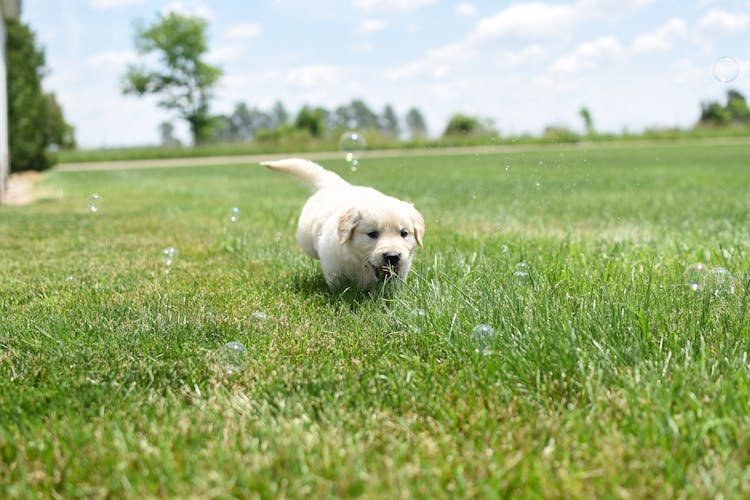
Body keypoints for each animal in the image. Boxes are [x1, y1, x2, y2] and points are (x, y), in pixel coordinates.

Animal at [262, 156, 426, 290]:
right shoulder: (332, 264)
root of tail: (335, 185)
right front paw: (340, 293)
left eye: (404, 233)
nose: (392, 256)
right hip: (306, 238)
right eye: (372, 234)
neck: (360, 263)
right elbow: (336, 283)